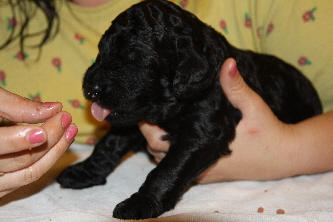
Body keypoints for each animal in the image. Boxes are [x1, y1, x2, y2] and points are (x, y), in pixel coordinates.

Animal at [56, 0, 320, 219]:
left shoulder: (202, 132)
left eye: (135, 59)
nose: (90, 87)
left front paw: (141, 203)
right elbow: (108, 145)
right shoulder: (131, 119)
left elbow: (168, 169)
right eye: (102, 50)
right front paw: (85, 172)